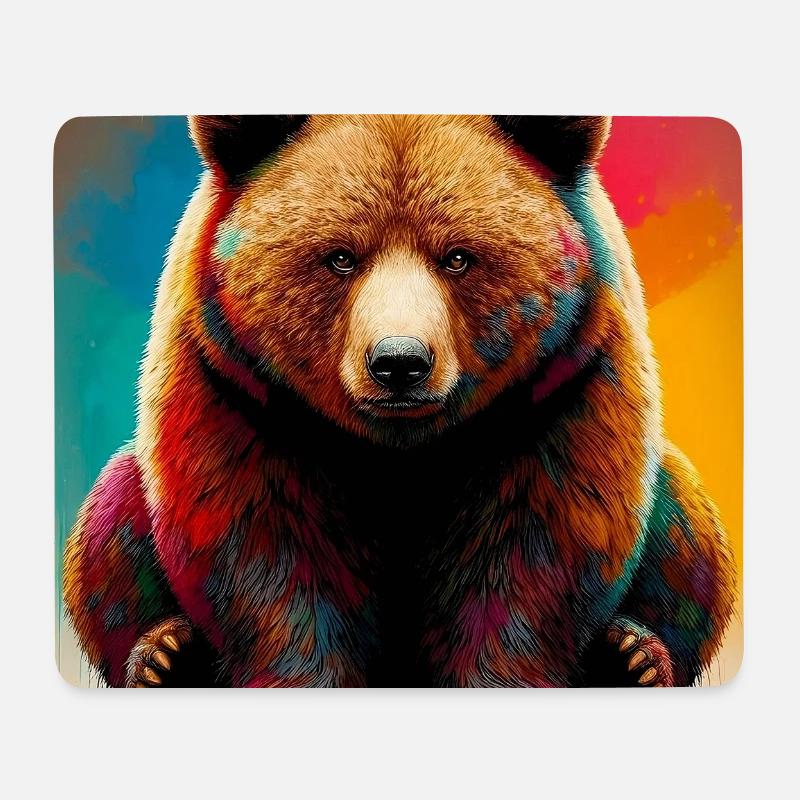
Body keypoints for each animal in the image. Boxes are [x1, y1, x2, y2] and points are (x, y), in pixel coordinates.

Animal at [63, 115, 736, 687]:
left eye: (458, 256)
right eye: (340, 256)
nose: (399, 362)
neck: (400, 449)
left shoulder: (561, 385)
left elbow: (535, 549)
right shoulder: (237, 388)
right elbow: (263, 549)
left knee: (691, 533)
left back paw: (635, 655)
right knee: (109, 521)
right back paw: (162, 655)